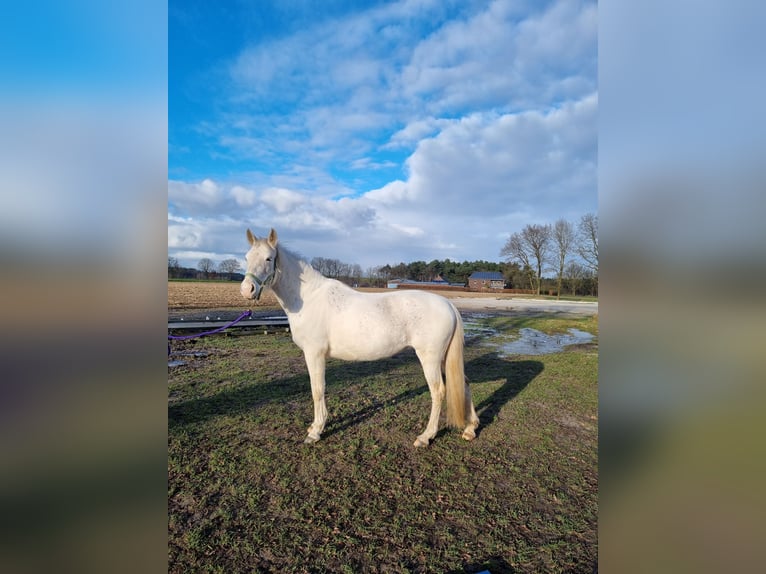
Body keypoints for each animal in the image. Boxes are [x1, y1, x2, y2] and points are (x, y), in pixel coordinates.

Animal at [242, 230, 480, 450]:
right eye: (246, 257)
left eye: (269, 258)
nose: (247, 289)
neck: (309, 298)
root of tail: (447, 304)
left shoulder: (314, 353)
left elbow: (317, 389)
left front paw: (316, 431)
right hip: (444, 358)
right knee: (464, 383)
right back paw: (470, 429)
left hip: (430, 358)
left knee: (438, 392)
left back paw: (426, 437)